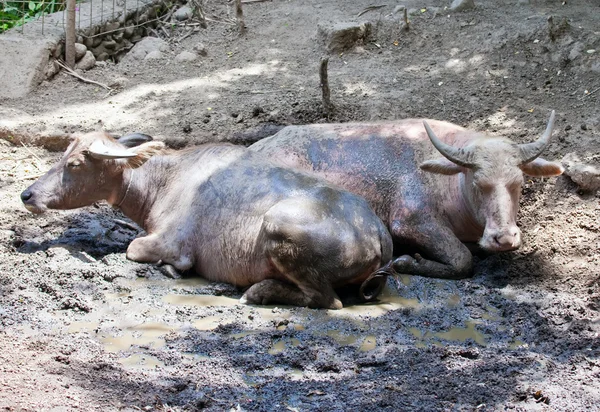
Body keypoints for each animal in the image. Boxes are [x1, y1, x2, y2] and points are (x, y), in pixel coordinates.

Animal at [19, 132, 394, 308]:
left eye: (75, 164)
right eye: (63, 154)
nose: (27, 195)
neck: (162, 181)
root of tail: (379, 232)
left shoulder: (171, 242)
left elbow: (135, 248)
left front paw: (171, 269)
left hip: (278, 226)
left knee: (328, 300)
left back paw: (258, 292)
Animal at [250, 111, 564, 280]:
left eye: (519, 183)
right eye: (478, 183)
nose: (504, 238)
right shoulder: (412, 221)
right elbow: (462, 259)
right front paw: (408, 262)